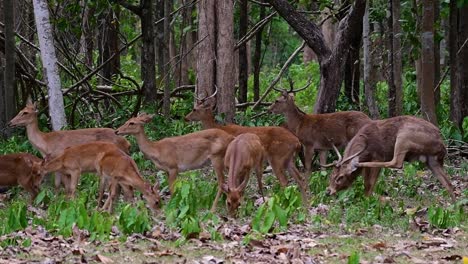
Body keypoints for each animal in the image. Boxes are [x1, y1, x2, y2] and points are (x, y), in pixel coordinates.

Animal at [326, 114, 458, 201]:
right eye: (331, 175)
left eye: (340, 177)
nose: (328, 191)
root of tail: (441, 143)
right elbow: (366, 183)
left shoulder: (378, 156)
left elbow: (370, 183)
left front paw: (367, 200)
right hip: (431, 160)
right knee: (448, 183)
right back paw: (455, 208)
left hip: (404, 137)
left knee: (396, 163)